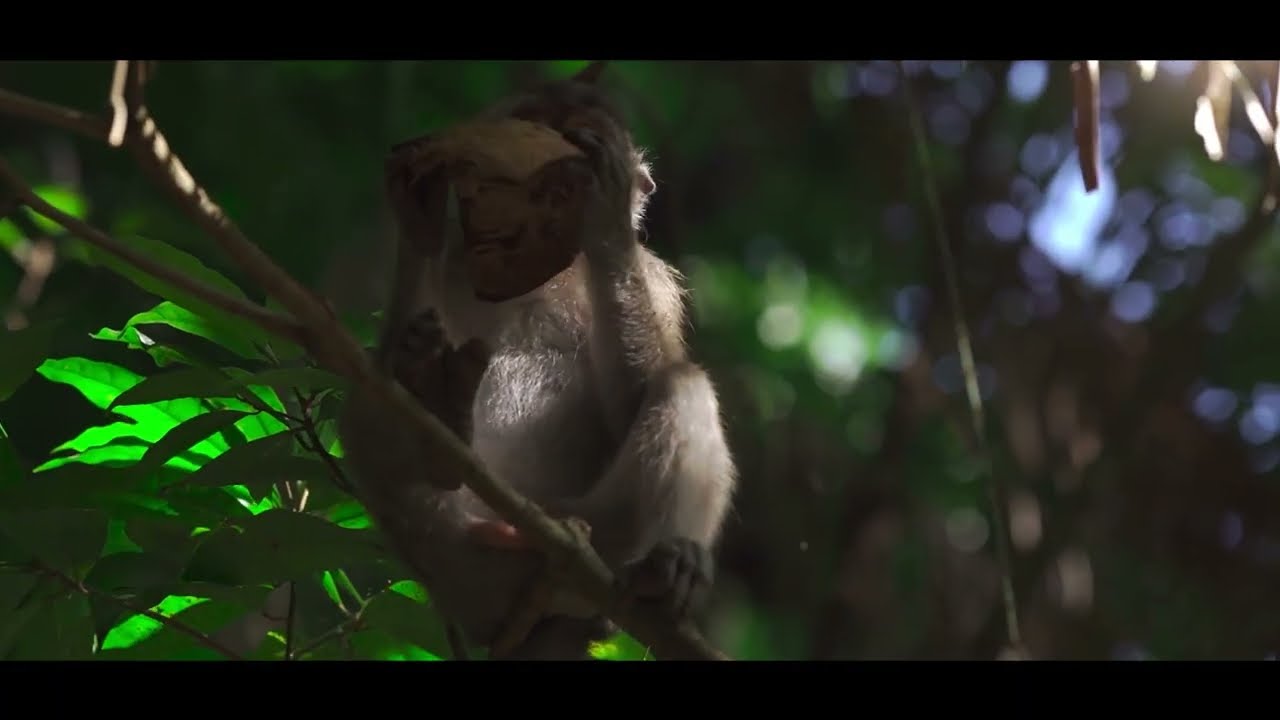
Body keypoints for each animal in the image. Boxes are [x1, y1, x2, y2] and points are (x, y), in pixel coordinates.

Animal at [336, 63, 736, 659]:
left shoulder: (655, 279)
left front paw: (607, 214)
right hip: (463, 552)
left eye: (558, 185)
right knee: (366, 407)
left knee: (683, 383)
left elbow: (636, 395)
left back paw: (665, 571)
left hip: (596, 528)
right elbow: (390, 355)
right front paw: (419, 218)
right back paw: (443, 412)